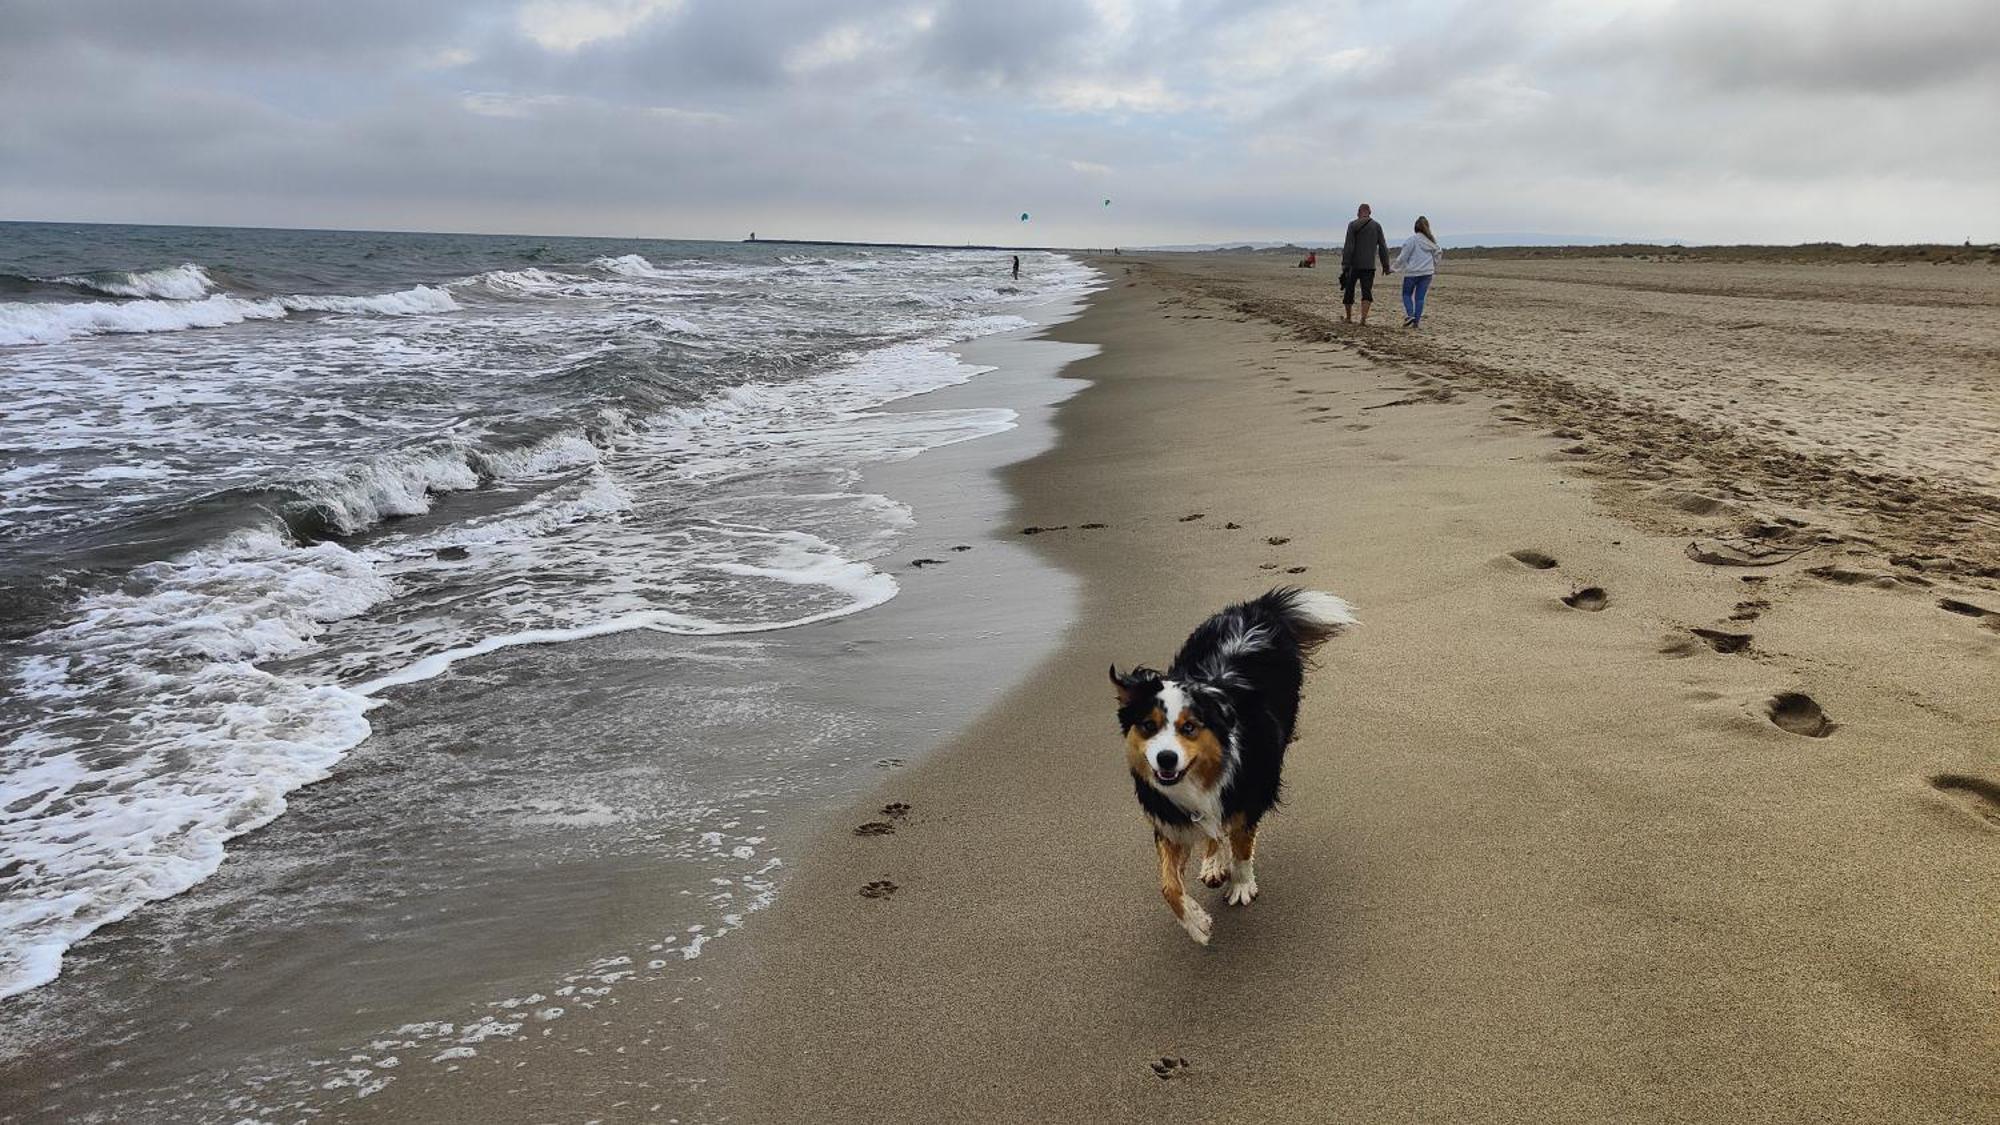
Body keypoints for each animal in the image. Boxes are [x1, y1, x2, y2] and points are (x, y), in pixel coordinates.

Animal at [1112, 580, 1360, 940]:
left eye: (1190, 727)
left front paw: (1242, 886)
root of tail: (1254, 608)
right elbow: (1168, 887)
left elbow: (1242, 843)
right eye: (1148, 725)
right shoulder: (1169, 819)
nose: (1166, 759)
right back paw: (1213, 863)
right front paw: (1197, 924)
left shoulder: (1248, 794)